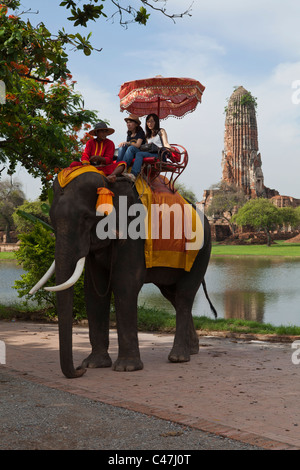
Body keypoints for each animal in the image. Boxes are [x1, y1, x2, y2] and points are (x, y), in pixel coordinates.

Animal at [30, 172, 216, 378]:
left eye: (87, 218)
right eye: (51, 219)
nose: (79, 370)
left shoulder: (133, 231)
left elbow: (125, 285)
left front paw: (126, 368)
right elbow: (93, 291)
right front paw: (94, 364)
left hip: (201, 250)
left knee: (184, 295)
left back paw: (178, 357)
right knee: (172, 295)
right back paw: (192, 349)